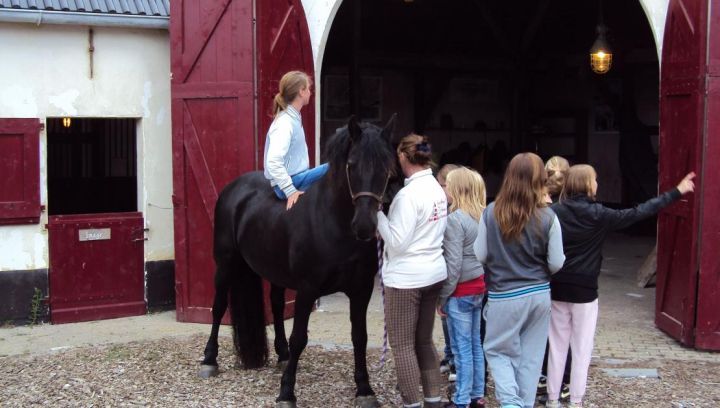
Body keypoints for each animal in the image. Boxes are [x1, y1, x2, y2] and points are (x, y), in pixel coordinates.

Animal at [200, 115, 396, 408]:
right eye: (351, 165)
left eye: (386, 168)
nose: (364, 226)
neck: (334, 223)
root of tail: (234, 189)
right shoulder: (307, 289)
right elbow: (299, 338)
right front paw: (286, 393)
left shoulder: (361, 290)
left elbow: (359, 337)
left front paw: (364, 389)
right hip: (225, 265)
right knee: (218, 306)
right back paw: (209, 360)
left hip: (275, 271)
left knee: (276, 306)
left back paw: (281, 356)